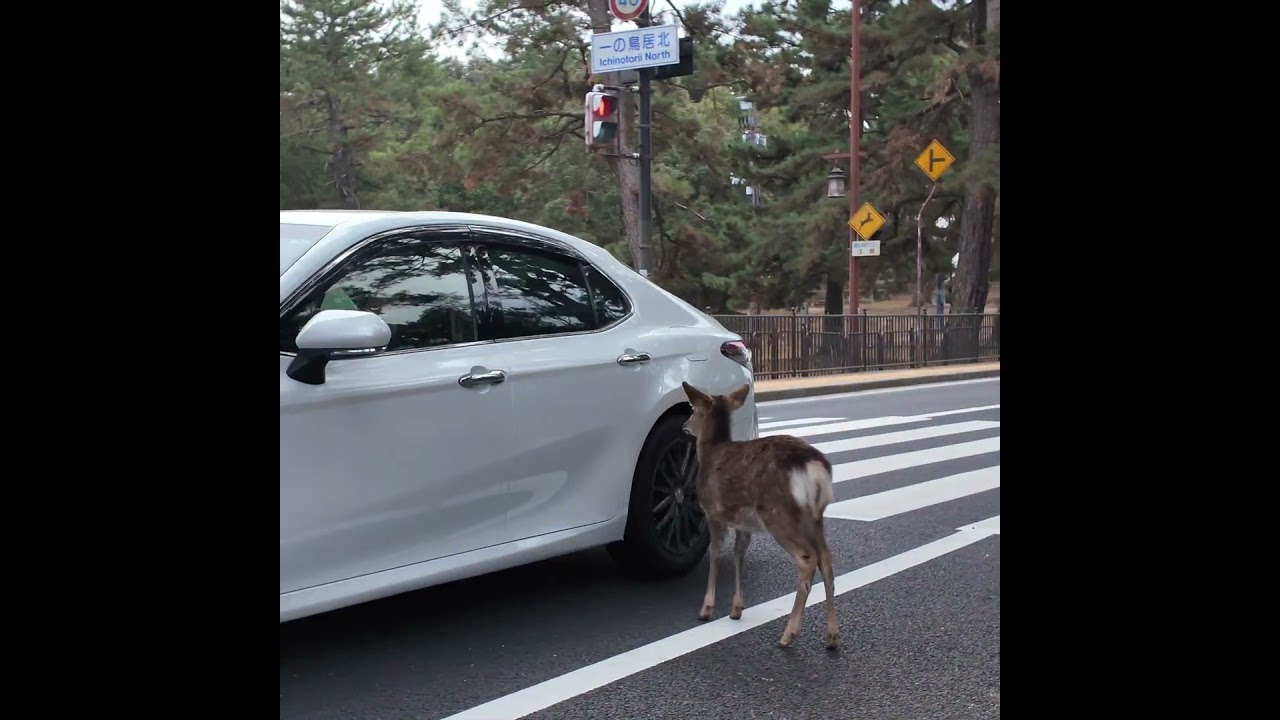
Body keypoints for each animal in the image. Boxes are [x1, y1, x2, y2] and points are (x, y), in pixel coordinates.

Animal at [680, 381, 839, 650]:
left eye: (693, 409)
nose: (684, 426)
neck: (710, 453)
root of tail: (814, 468)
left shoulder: (713, 511)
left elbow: (715, 554)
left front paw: (706, 608)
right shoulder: (743, 523)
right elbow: (738, 555)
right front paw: (736, 609)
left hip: (778, 513)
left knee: (807, 558)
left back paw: (788, 635)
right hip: (815, 516)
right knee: (826, 558)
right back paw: (832, 636)